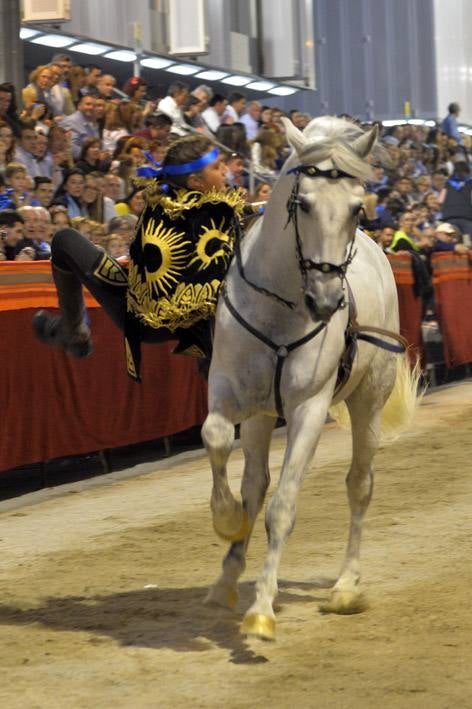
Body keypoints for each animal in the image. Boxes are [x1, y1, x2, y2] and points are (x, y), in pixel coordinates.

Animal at [201, 117, 418, 640]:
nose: (325, 299)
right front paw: (227, 521)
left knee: (360, 484)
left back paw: (345, 587)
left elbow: (283, 507)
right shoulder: (232, 394)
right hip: (261, 417)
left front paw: (262, 611)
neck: (282, 305)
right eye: (303, 204)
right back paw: (226, 579)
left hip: (368, 403)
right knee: (254, 483)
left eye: (358, 209)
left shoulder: (309, 409)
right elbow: (216, 438)